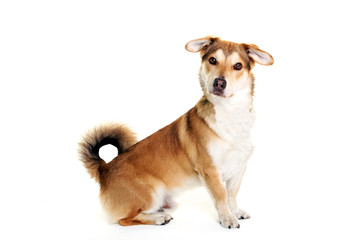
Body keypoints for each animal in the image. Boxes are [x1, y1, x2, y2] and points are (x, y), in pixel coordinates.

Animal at [79, 36, 272, 229]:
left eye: (238, 66)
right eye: (212, 60)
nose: (219, 82)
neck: (231, 112)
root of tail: (104, 169)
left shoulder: (239, 168)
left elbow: (232, 193)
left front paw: (235, 212)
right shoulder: (210, 170)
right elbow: (221, 195)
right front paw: (227, 218)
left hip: (167, 201)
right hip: (151, 193)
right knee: (125, 220)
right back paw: (158, 219)